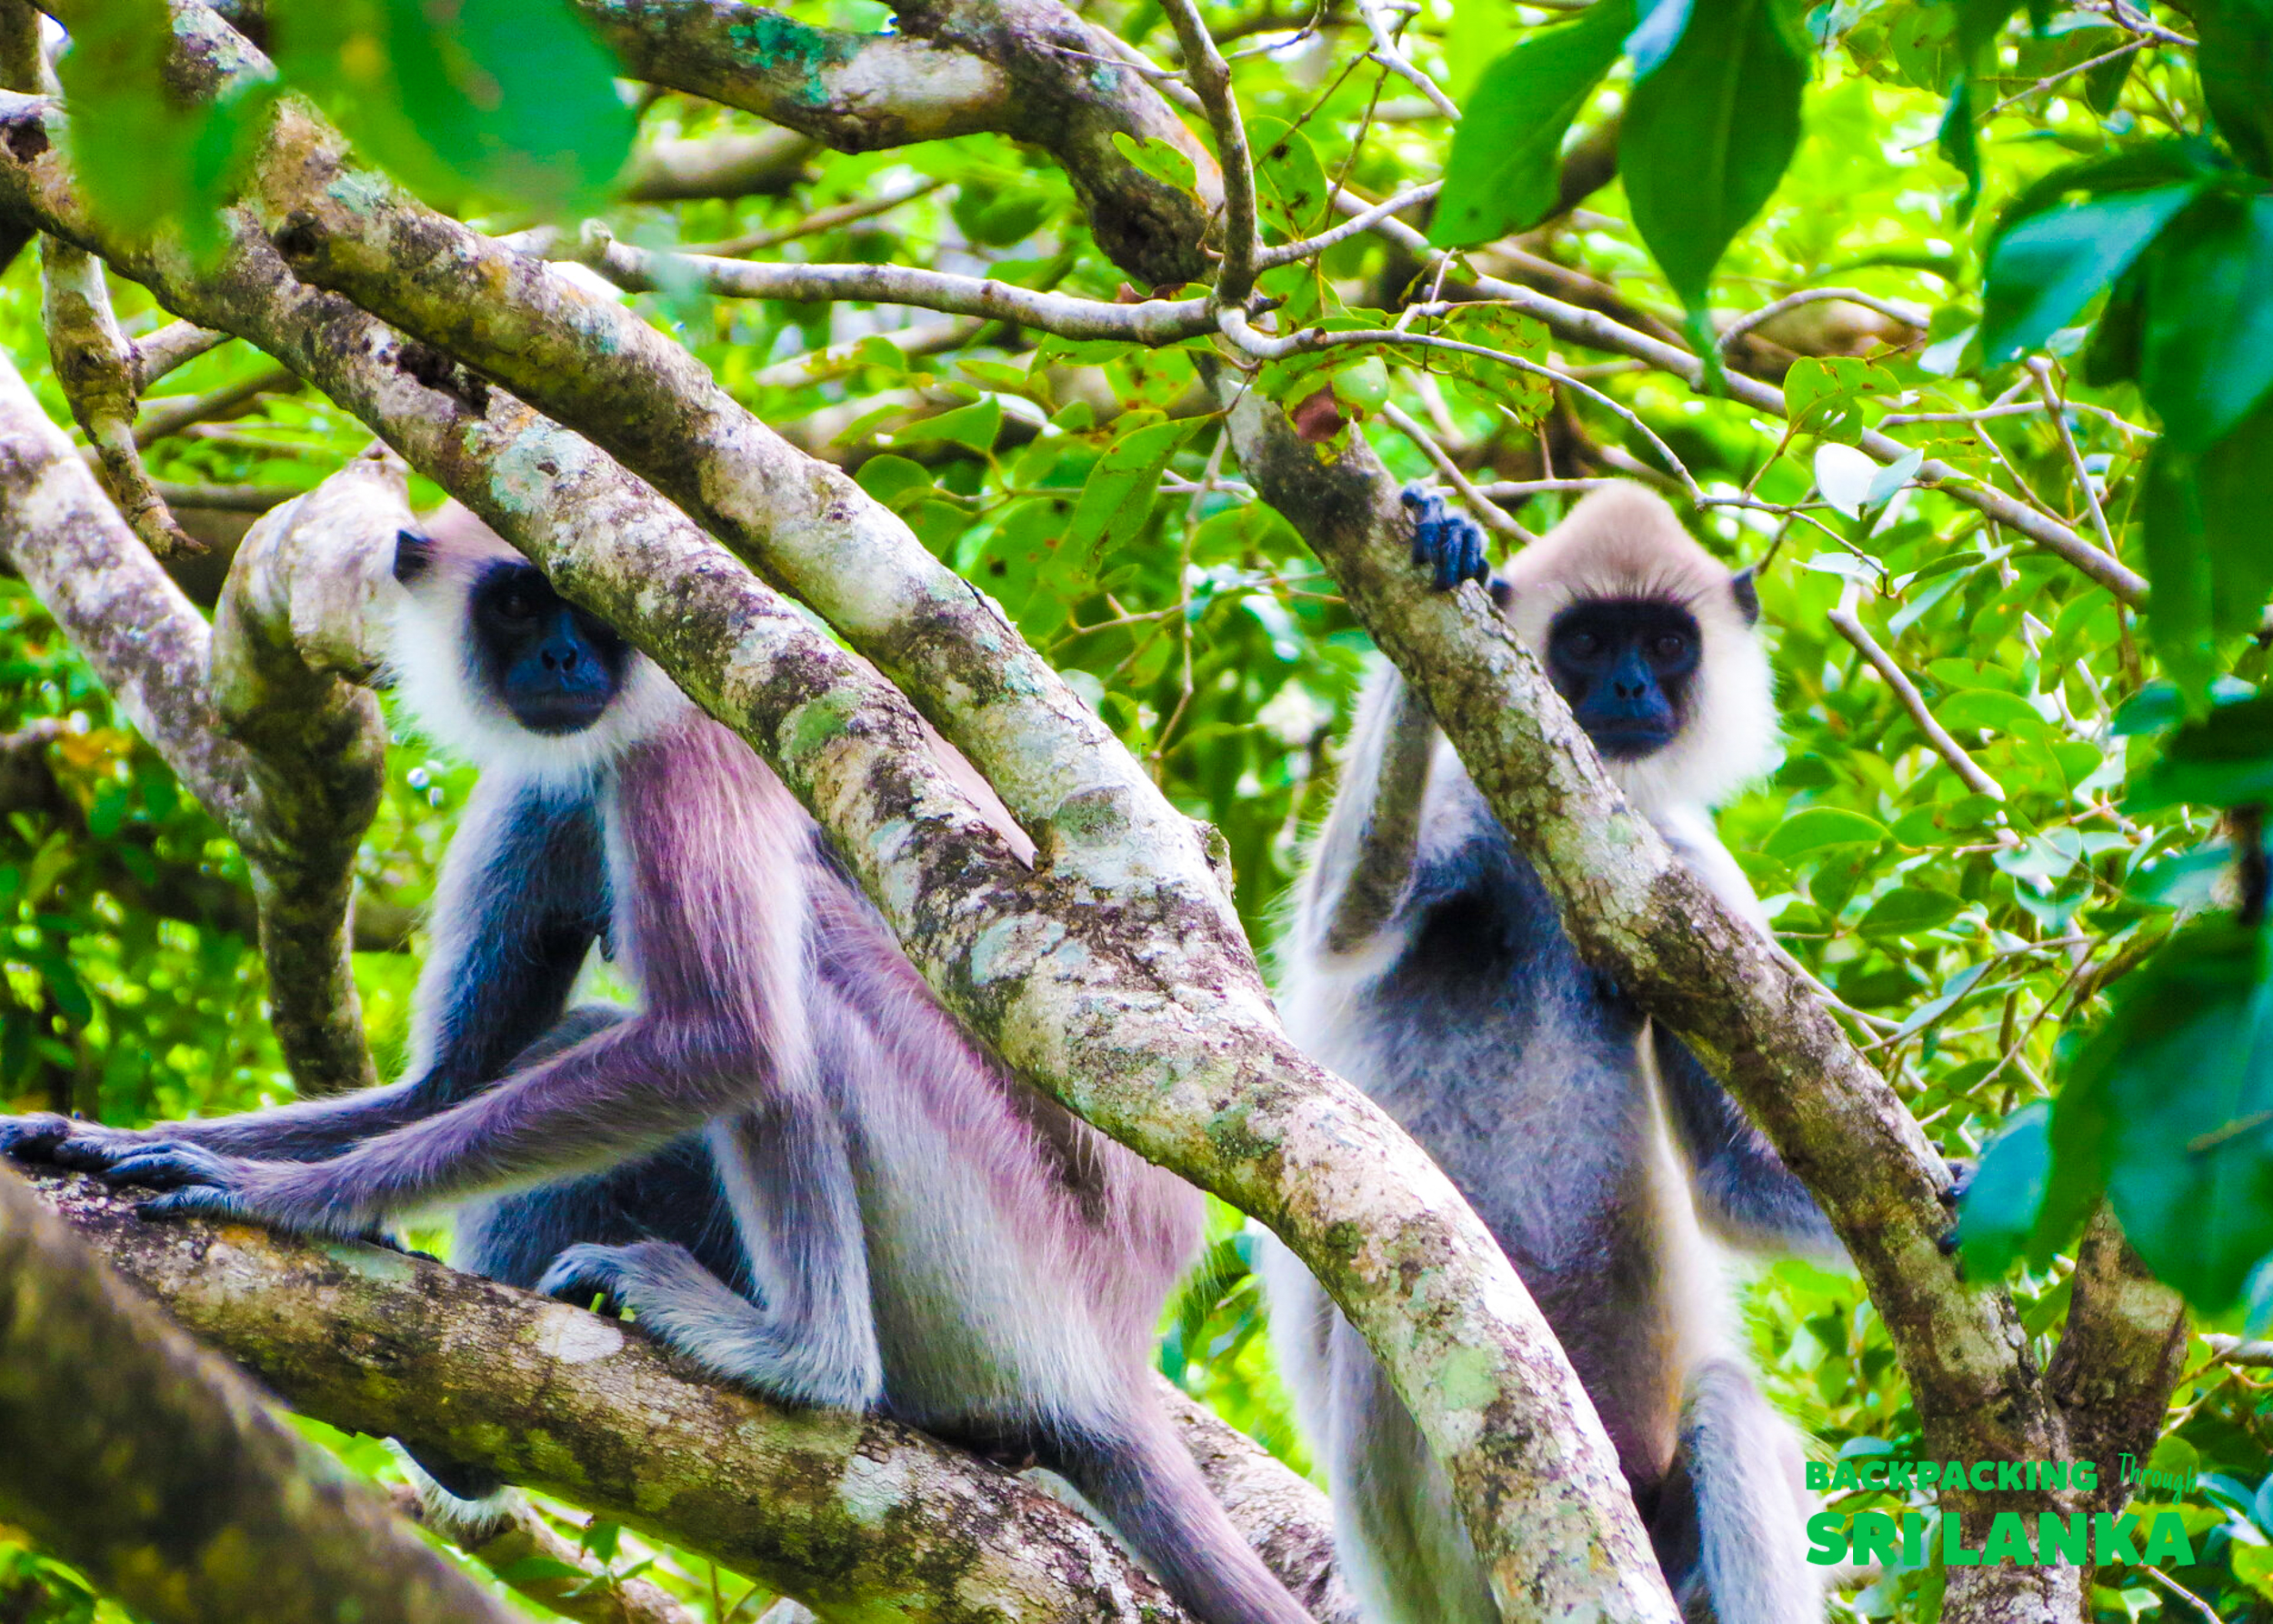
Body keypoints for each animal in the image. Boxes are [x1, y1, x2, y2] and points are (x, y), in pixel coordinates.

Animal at [0, 506, 1314, 1624]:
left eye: (590, 608)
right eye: (518, 607)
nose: (565, 660)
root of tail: (1116, 1347)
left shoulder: (696, 744)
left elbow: (727, 1036)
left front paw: (284, 1198)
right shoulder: (550, 778)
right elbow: (448, 1083)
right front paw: (92, 1137)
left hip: (998, 1273)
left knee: (793, 997)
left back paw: (806, 1363)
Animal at [1259, 482, 1841, 1624]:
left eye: (1664, 644)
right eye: (1585, 642)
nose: (1625, 687)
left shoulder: (1693, 871)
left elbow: (1732, 1180)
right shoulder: (1462, 813)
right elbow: (1345, 922)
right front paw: (1441, 553)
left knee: (1722, 1400)